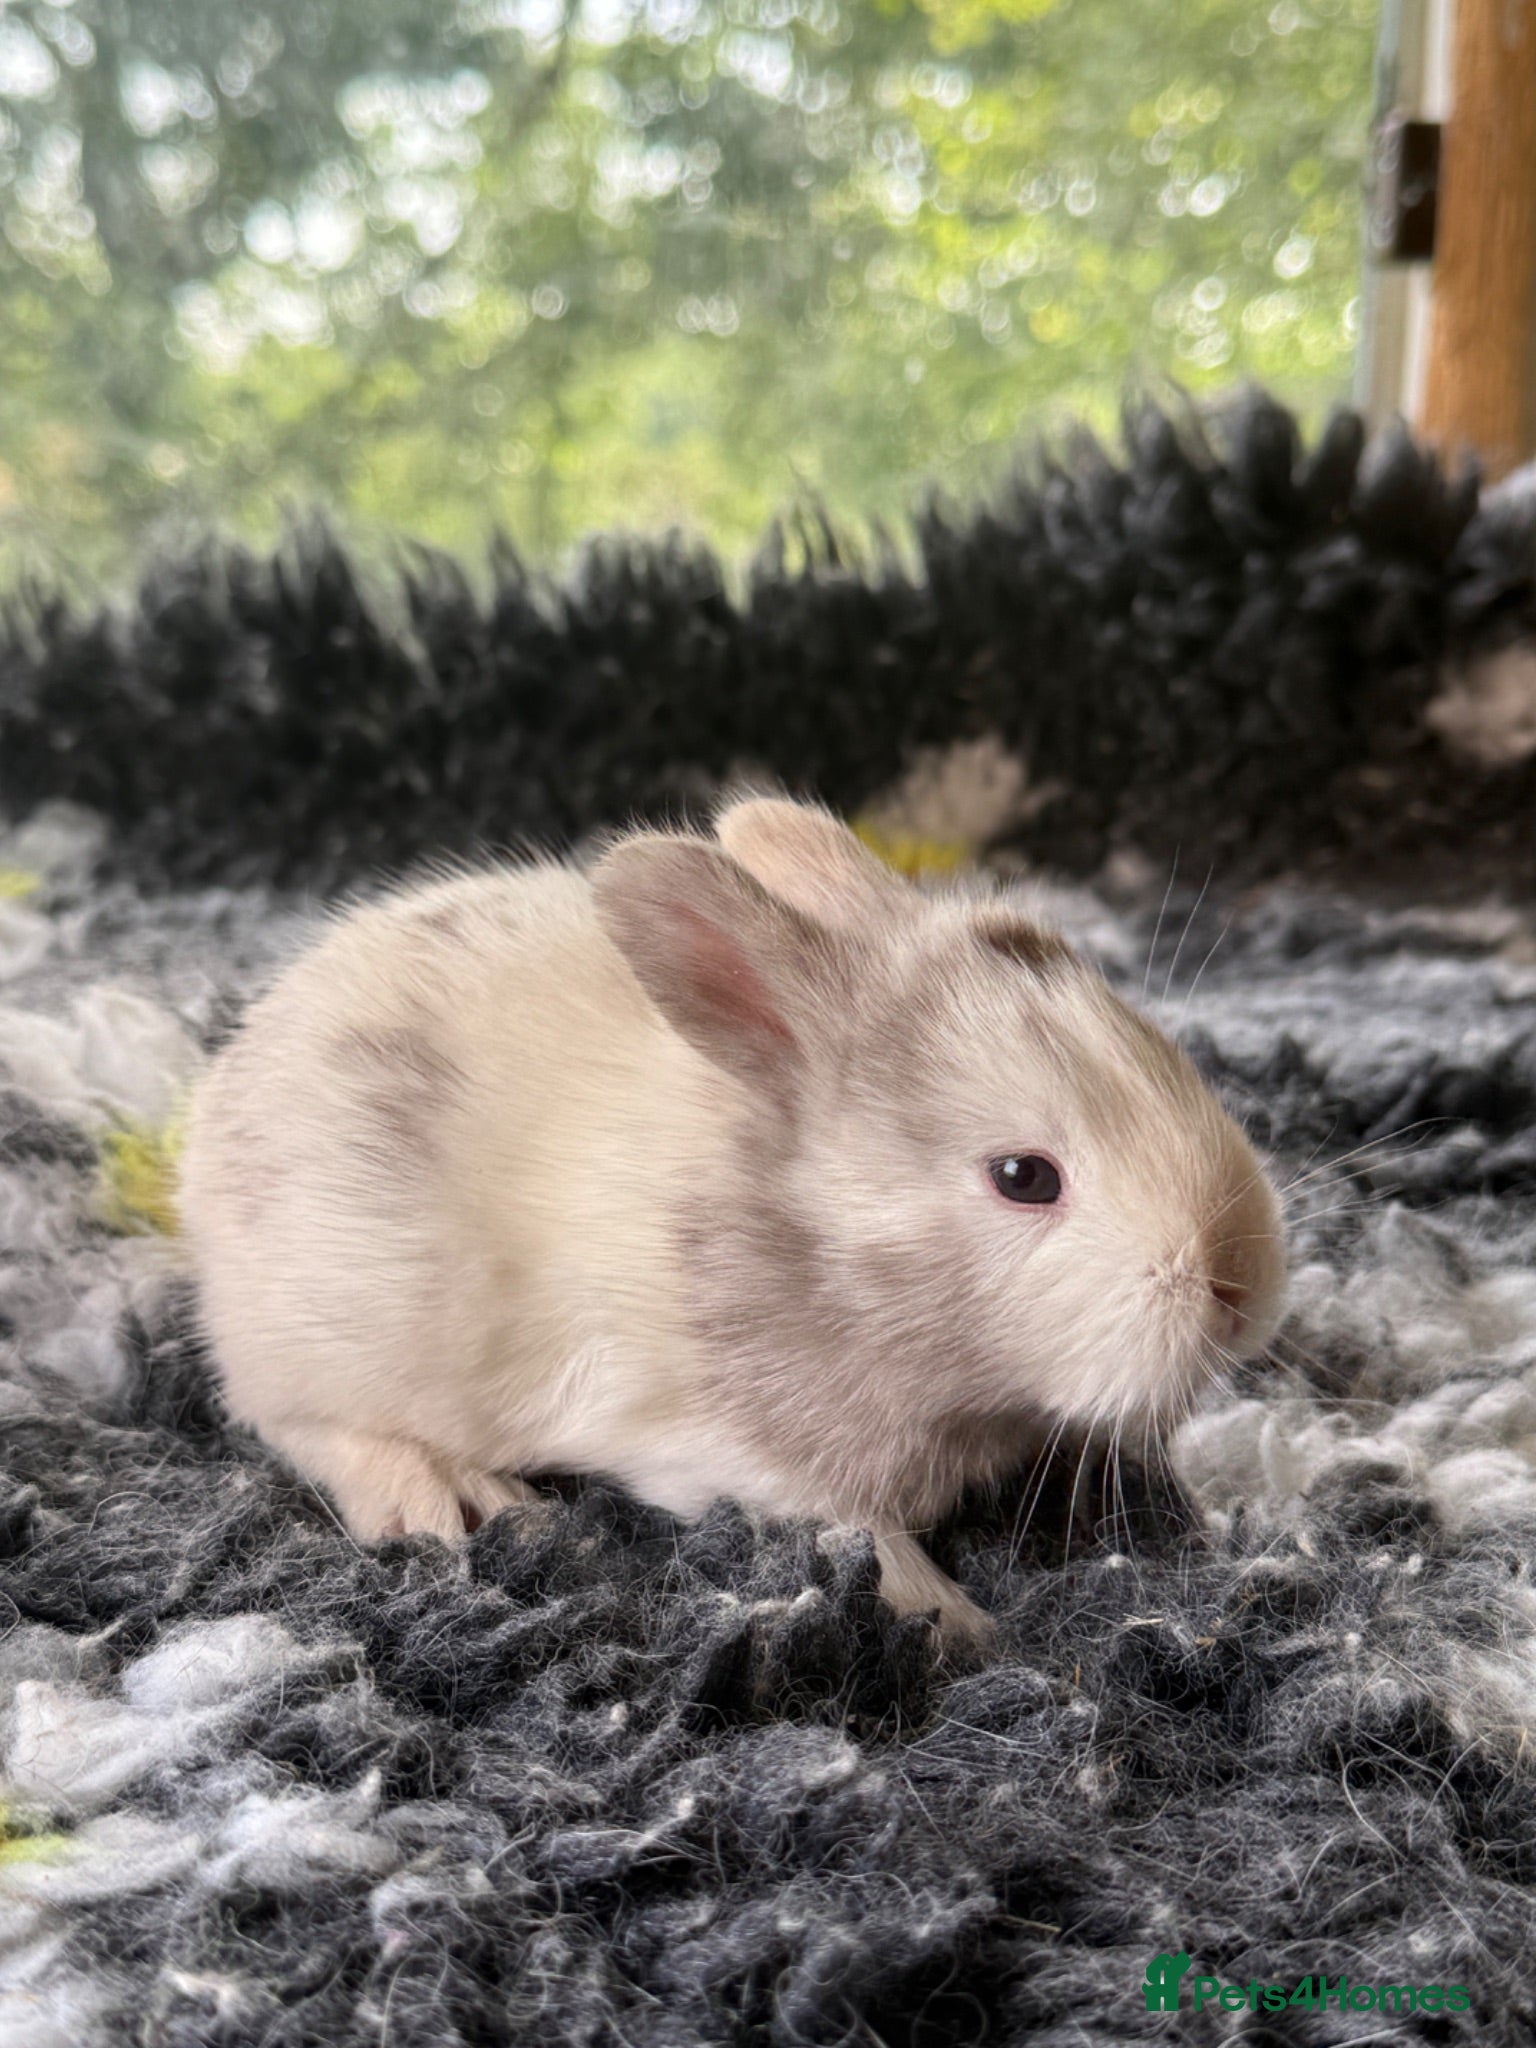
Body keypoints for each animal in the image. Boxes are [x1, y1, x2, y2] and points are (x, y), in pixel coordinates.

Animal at [178, 795, 1286, 1645]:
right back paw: (450, 1498)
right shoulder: (724, 1452)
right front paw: (963, 1624)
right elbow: (864, 1534)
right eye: (1024, 1177)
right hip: (327, 1332)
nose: (1243, 1287)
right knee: (300, 1420)